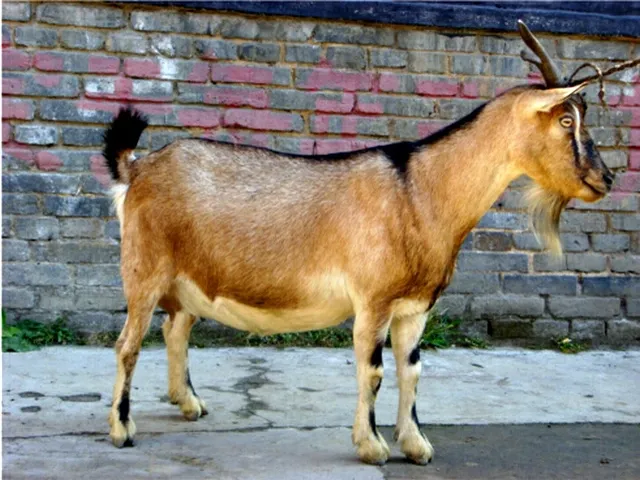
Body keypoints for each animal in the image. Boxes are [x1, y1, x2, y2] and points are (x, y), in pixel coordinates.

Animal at [104, 21, 617, 465]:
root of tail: (139, 168)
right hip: (143, 268)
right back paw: (122, 429)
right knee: (128, 344)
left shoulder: (415, 306)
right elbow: (373, 370)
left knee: (175, 328)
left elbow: (412, 370)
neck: (420, 191)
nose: (606, 178)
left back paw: (189, 403)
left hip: (187, 276)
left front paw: (416, 445)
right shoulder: (373, 299)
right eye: (566, 119)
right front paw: (371, 446)